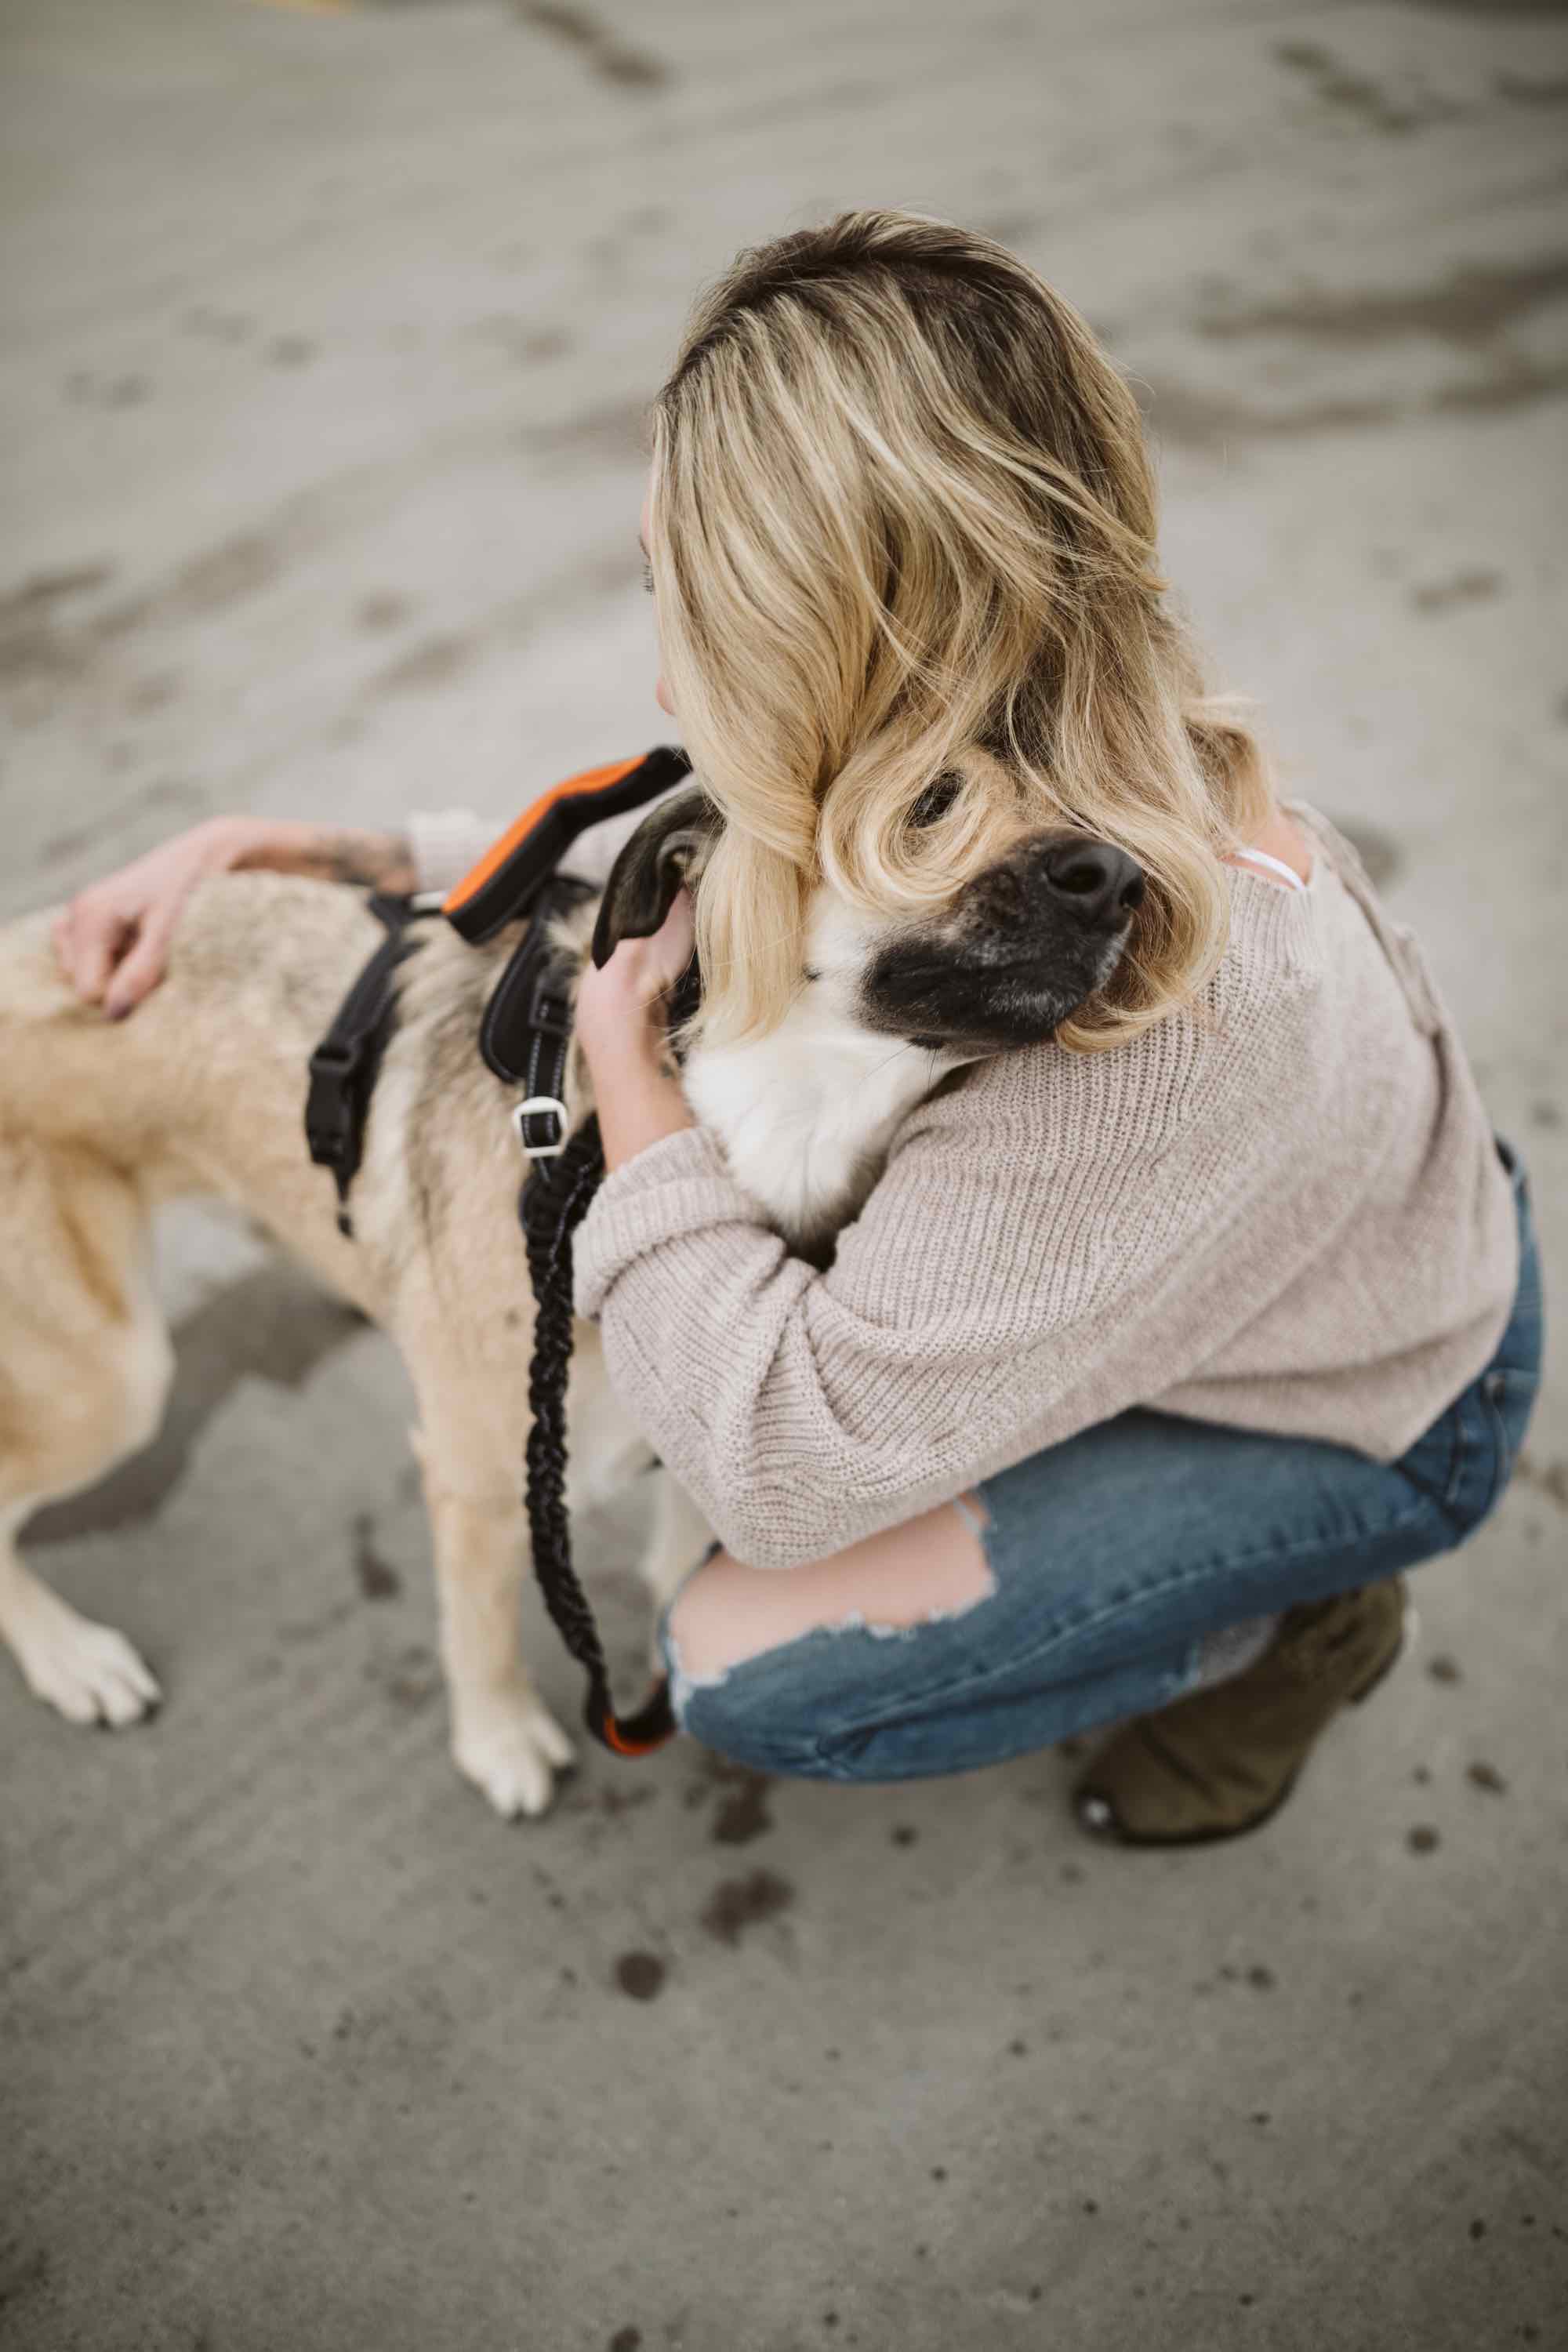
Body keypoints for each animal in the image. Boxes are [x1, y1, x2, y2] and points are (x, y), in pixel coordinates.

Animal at [0, 786, 1142, 1816]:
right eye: (930, 800)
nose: (1122, 877)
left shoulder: (707, 1438)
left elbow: (679, 1566)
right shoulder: (480, 1478)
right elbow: (483, 1627)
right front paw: (499, 1742)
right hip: (111, 1381)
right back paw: (75, 1661)